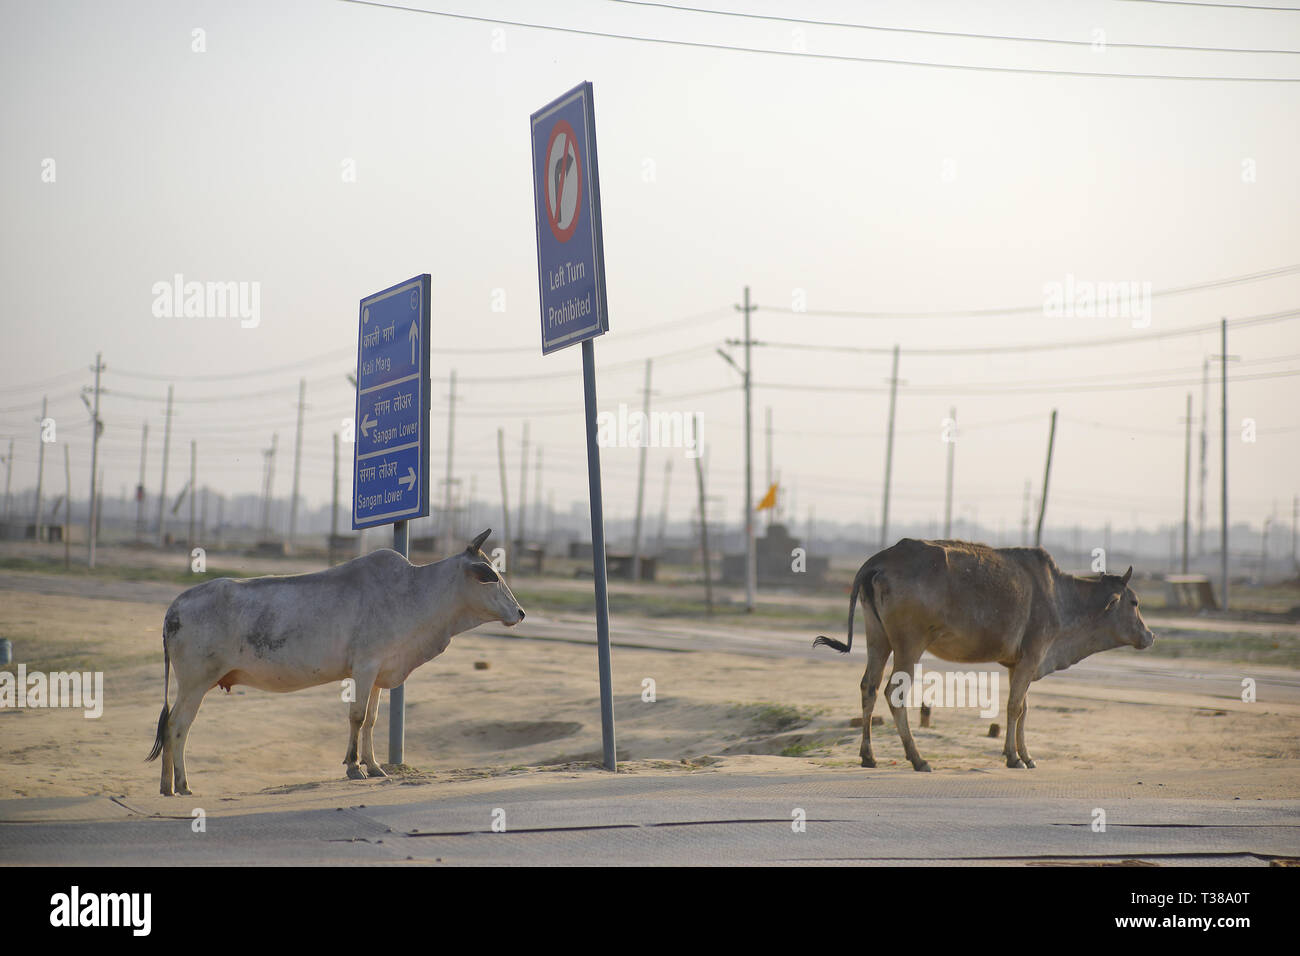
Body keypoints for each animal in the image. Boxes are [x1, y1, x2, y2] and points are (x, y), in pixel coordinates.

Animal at [146, 529, 523, 795]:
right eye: (491, 575)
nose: (520, 612)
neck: (414, 593)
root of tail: (174, 606)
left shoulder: (379, 672)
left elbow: (371, 720)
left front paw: (374, 766)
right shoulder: (365, 667)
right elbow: (356, 717)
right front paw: (353, 767)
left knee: (172, 727)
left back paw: (168, 785)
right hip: (194, 683)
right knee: (177, 726)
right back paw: (180, 785)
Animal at [813, 539, 1153, 772]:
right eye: (1134, 602)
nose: (1150, 635)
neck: (1061, 597)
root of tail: (882, 557)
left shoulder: (1018, 664)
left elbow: (1023, 708)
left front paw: (1023, 754)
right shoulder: (1032, 656)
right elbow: (1015, 707)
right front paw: (1015, 757)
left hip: (878, 639)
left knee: (868, 687)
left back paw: (868, 756)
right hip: (909, 645)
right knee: (893, 692)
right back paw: (918, 758)